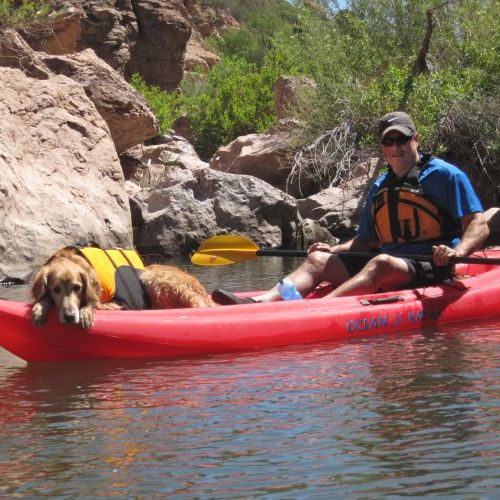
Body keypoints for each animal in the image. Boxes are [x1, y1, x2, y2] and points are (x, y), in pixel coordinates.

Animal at [31, 247, 215, 328]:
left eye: (77, 287)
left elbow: (95, 303)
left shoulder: (120, 304)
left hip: (151, 277)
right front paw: (40, 307)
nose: (70, 316)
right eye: (55, 289)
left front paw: (86, 311)